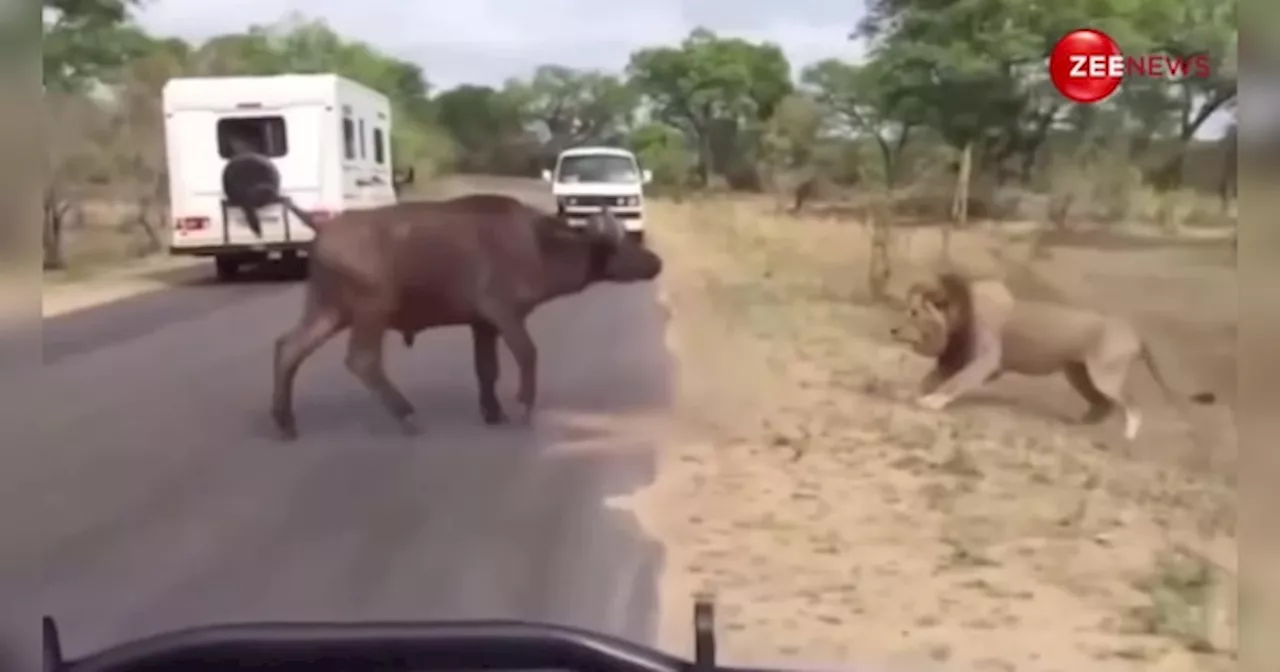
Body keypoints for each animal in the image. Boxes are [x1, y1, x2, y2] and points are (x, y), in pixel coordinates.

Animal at [232, 172, 660, 437]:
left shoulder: (482, 325)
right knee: (362, 360)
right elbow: (527, 355)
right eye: (623, 246)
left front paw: (493, 412)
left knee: (288, 348)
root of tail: (324, 226)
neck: (537, 245)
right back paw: (407, 415)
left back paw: (286, 422)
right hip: (371, 309)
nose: (655, 262)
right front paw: (523, 407)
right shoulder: (505, 315)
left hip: (329, 310)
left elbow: (487, 370)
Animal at [885, 270, 1213, 437]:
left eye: (914, 312)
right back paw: (1080, 426)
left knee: (1130, 404)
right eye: (906, 309)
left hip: (1105, 374)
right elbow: (929, 378)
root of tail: (1134, 331)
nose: (893, 329)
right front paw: (909, 393)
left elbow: (954, 383)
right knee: (1103, 405)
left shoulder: (986, 361)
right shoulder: (956, 358)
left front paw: (930, 402)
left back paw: (1127, 436)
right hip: (1078, 374)